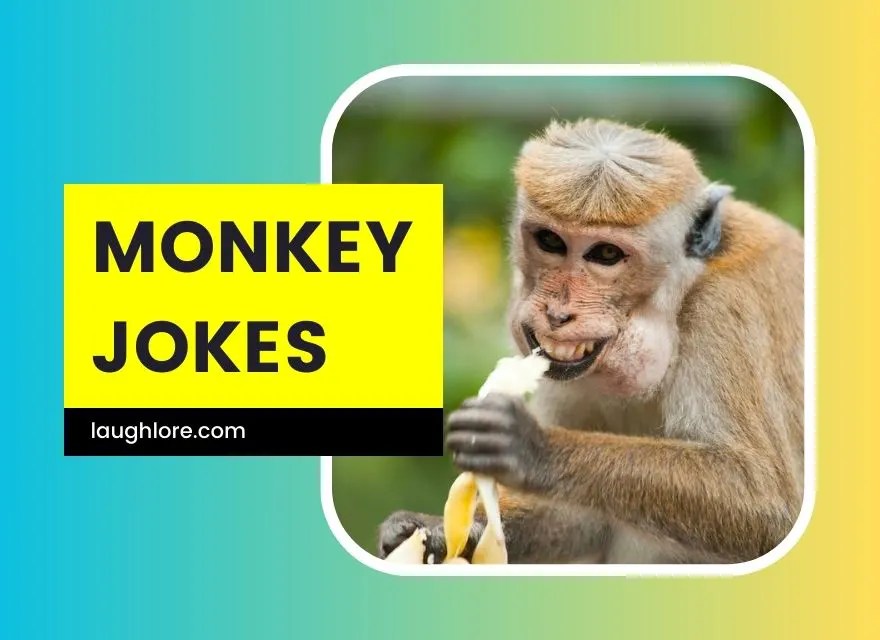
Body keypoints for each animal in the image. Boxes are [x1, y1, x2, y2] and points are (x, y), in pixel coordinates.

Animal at [378, 118, 804, 564]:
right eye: (551, 241)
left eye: (605, 254)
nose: (557, 314)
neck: (680, 296)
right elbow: (581, 519)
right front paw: (432, 530)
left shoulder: (723, 311)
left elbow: (763, 502)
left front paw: (534, 448)